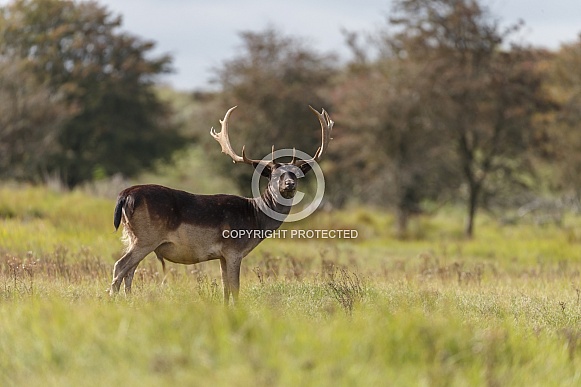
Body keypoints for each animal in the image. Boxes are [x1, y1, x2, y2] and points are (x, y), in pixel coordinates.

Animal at [109, 107, 334, 306]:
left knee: (130, 271)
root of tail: (125, 195)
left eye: (295, 173)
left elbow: (225, 288)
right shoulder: (234, 249)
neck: (255, 219)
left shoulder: (222, 255)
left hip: (133, 236)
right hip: (146, 237)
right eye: (273, 174)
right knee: (120, 266)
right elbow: (235, 288)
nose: (289, 184)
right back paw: (111, 300)